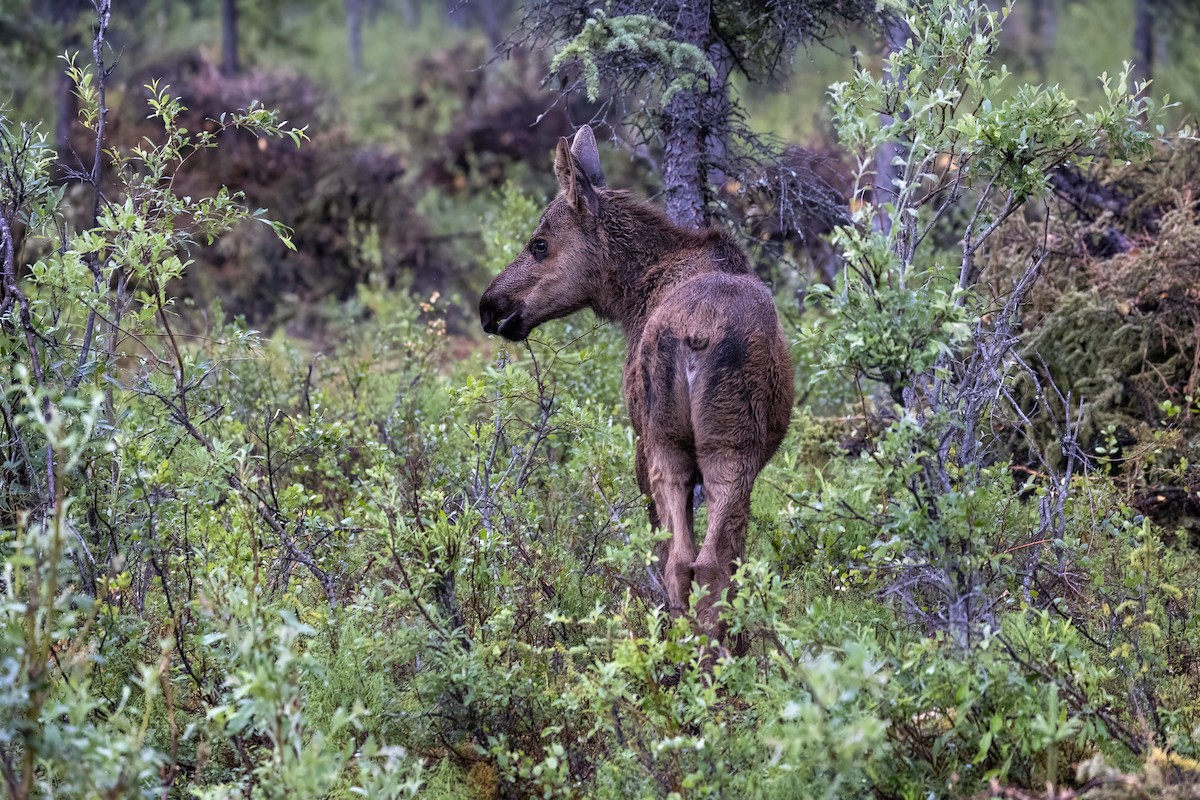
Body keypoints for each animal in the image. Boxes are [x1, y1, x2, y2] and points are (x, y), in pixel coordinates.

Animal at [479, 125, 793, 643]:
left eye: (539, 243)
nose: (489, 305)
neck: (630, 298)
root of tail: (696, 336)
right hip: (712, 445)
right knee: (702, 561)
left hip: (673, 440)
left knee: (686, 561)